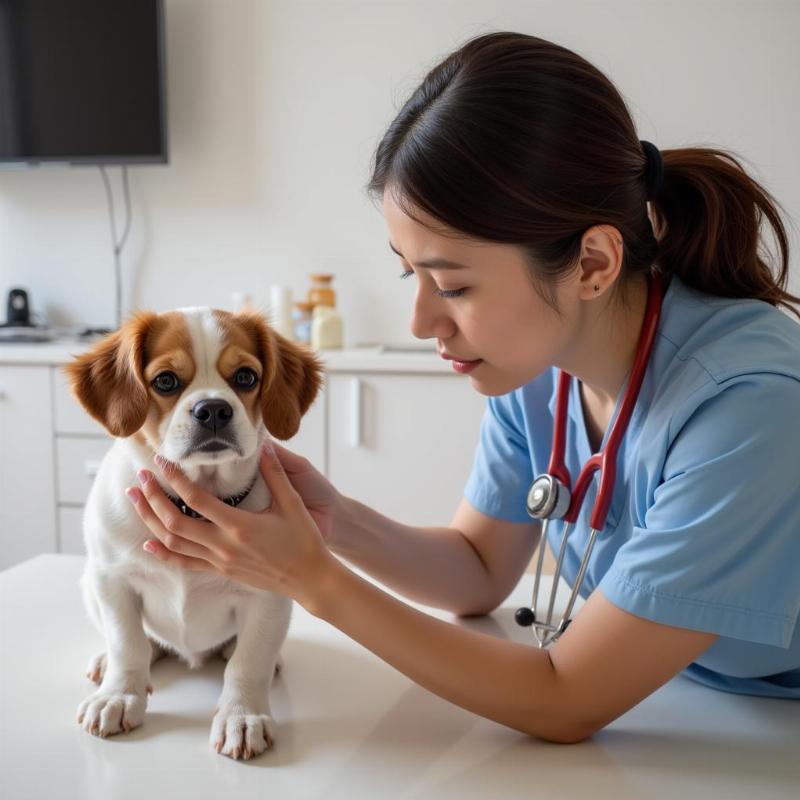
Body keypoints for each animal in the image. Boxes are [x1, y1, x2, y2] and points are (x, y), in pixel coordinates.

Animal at [63, 304, 322, 756]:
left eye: (245, 377)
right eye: (165, 381)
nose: (213, 409)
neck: (196, 506)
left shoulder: (269, 595)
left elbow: (249, 662)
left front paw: (242, 714)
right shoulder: (111, 580)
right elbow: (127, 643)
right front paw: (119, 695)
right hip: (89, 585)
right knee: (142, 643)